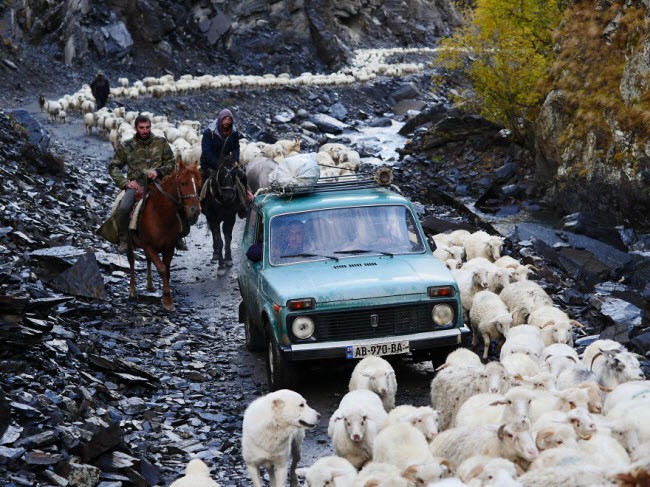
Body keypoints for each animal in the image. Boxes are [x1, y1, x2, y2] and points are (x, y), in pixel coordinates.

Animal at [124, 160, 200, 312]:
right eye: (183, 183)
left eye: (198, 183)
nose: (195, 211)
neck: (160, 216)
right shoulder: (148, 245)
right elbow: (162, 269)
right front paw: (168, 300)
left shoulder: (169, 247)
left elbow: (167, 270)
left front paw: (167, 296)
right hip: (130, 242)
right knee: (131, 260)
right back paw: (133, 290)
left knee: (147, 260)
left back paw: (150, 285)